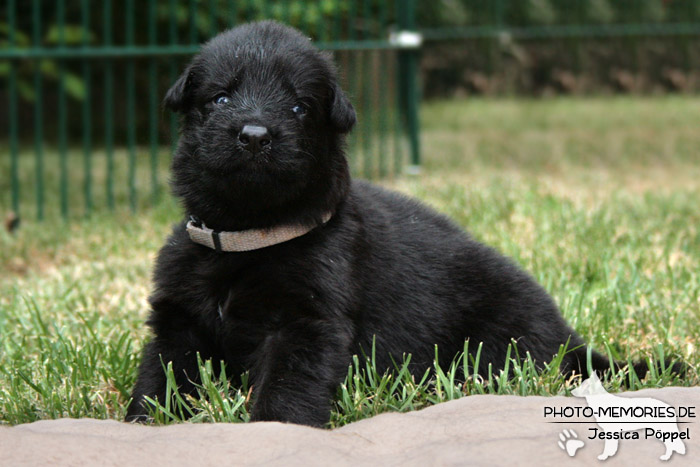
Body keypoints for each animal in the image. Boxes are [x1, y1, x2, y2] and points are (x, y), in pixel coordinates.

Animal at [124, 20, 636, 426]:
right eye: (221, 97)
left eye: (299, 107)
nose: (254, 135)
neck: (248, 237)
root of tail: (567, 338)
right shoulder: (179, 321)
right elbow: (158, 381)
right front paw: (142, 424)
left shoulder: (305, 325)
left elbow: (287, 389)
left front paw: (274, 429)